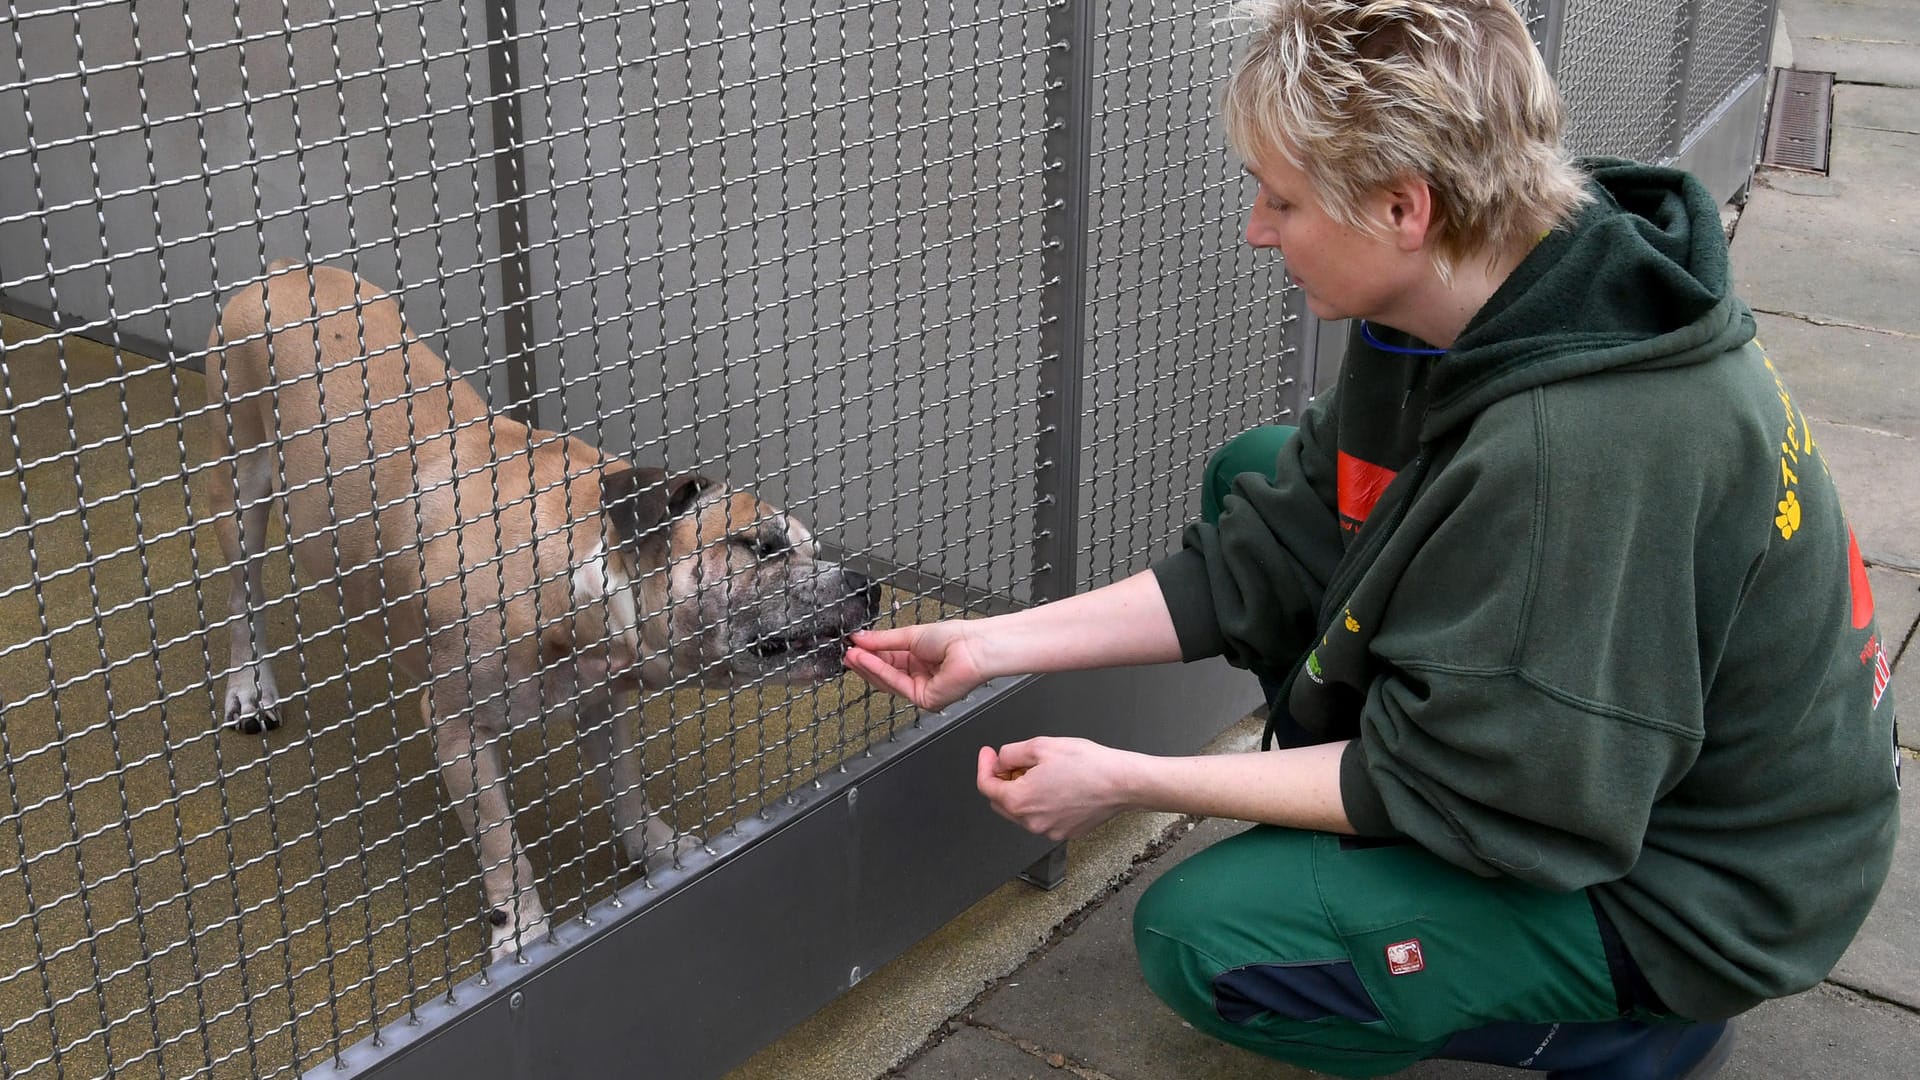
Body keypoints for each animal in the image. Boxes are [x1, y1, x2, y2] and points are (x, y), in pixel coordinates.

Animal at [202, 261, 879, 957]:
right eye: (763, 546)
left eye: (815, 548)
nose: (867, 586)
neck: (577, 561)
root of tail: (281, 271)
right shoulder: (458, 729)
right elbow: (501, 843)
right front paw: (521, 928)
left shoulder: (602, 700)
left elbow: (626, 789)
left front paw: (659, 850)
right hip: (241, 488)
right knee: (242, 598)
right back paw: (249, 690)